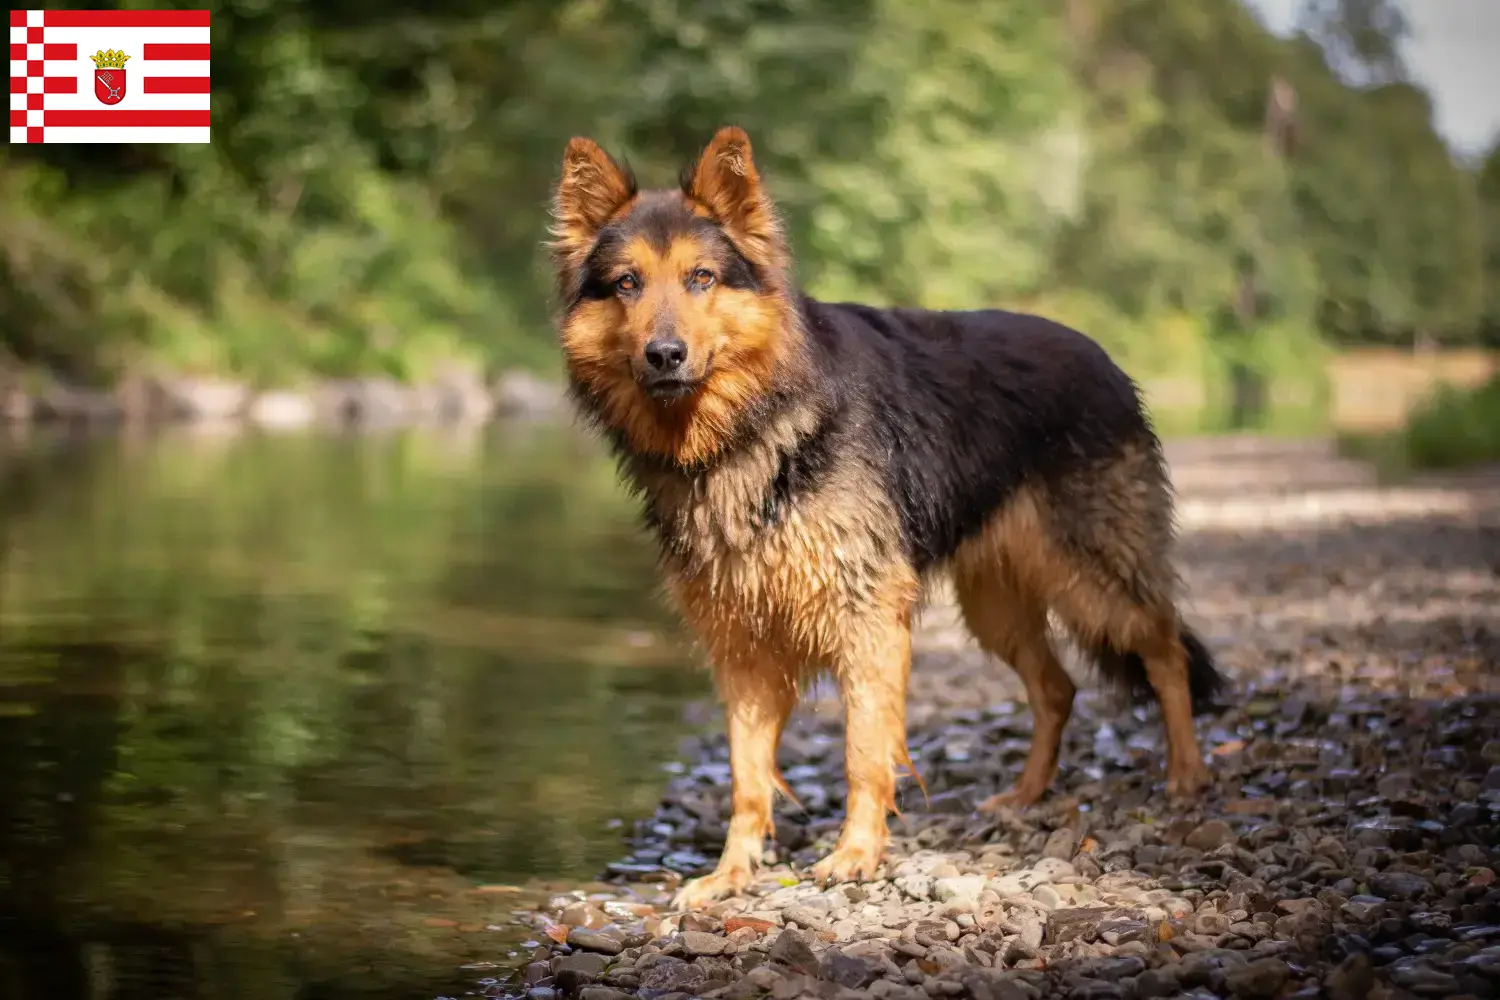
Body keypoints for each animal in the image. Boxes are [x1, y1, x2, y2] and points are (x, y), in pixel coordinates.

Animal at [546, 122, 1224, 905]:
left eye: (702, 279)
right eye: (627, 283)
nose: (664, 355)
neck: (755, 424)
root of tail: (1104, 358)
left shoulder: (865, 619)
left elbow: (864, 752)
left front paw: (856, 854)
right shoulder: (742, 643)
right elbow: (747, 776)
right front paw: (730, 874)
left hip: (1094, 578)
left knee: (1166, 651)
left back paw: (1187, 775)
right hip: (996, 606)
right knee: (1057, 687)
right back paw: (1026, 797)